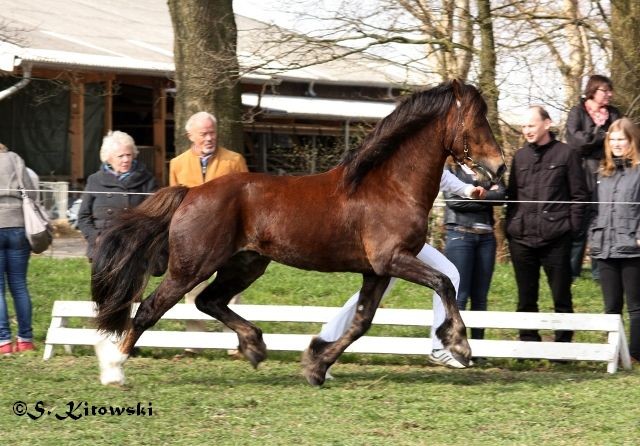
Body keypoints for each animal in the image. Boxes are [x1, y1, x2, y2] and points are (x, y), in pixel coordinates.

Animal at [91, 80, 504, 386]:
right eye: (477, 120)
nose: (498, 169)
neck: (388, 185)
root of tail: (191, 191)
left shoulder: (376, 270)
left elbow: (362, 322)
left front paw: (316, 367)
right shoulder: (393, 260)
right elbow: (443, 283)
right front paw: (460, 346)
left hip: (245, 264)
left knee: (208, 301)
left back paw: (255, 347)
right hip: (190, 267)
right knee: (150, 308)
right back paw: (114, 371)